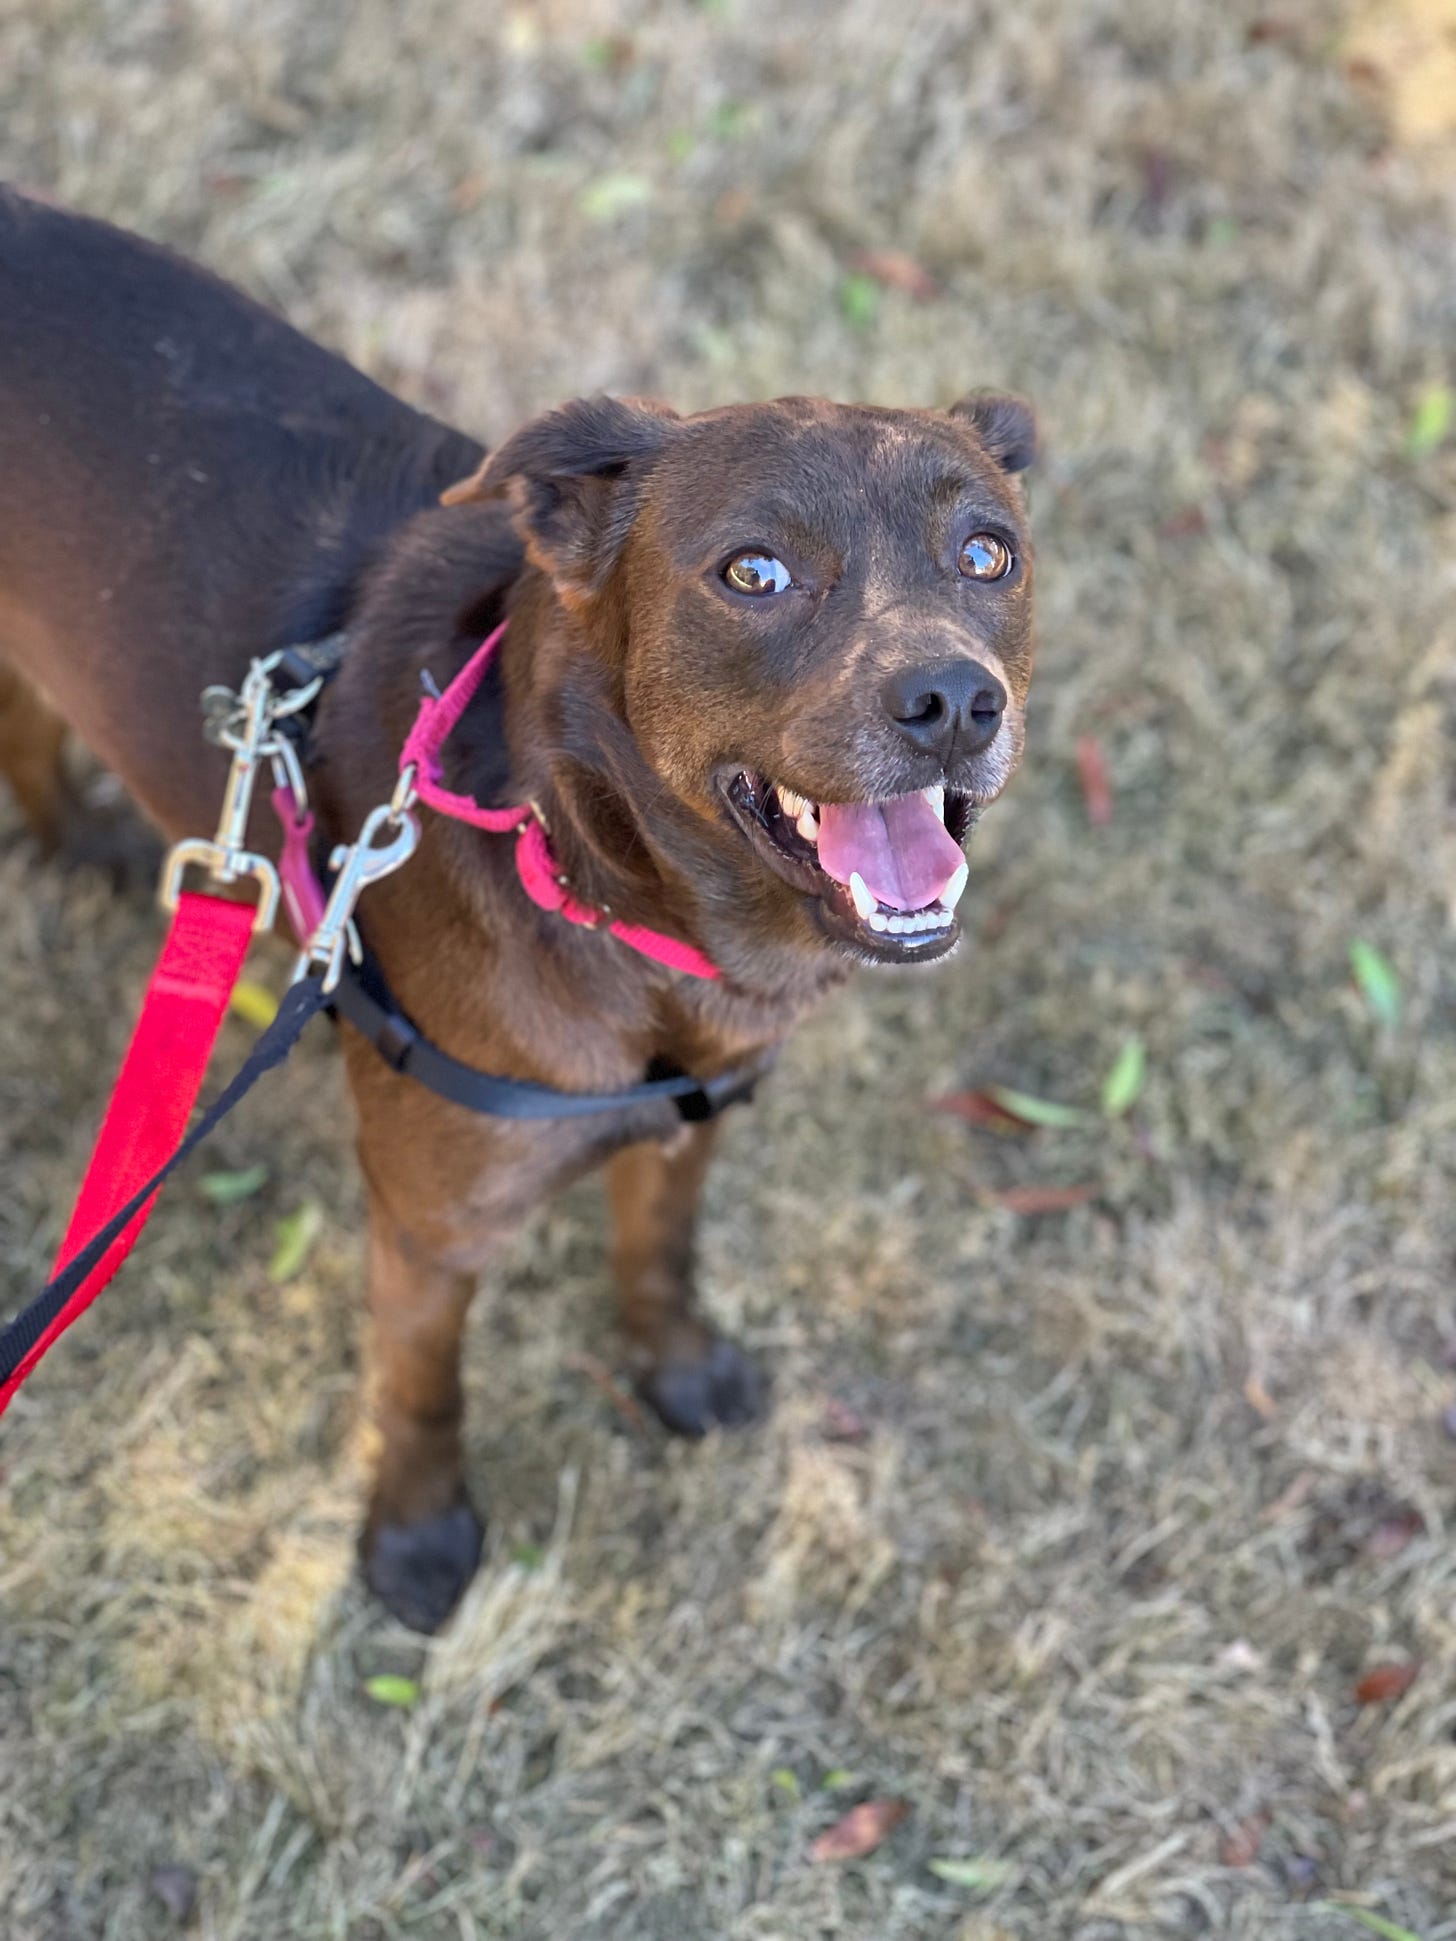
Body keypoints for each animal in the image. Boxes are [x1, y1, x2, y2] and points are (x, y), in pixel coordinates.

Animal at [0, 187, 1037, 1631]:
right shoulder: (431, 1226)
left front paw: (679, 1372)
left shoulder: (689, 1120)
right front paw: (417, 1541)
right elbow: (422, 1390)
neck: (604, 890)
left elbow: (659, 1253)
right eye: (755, 573)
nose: (953, 702)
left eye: (988, 553)